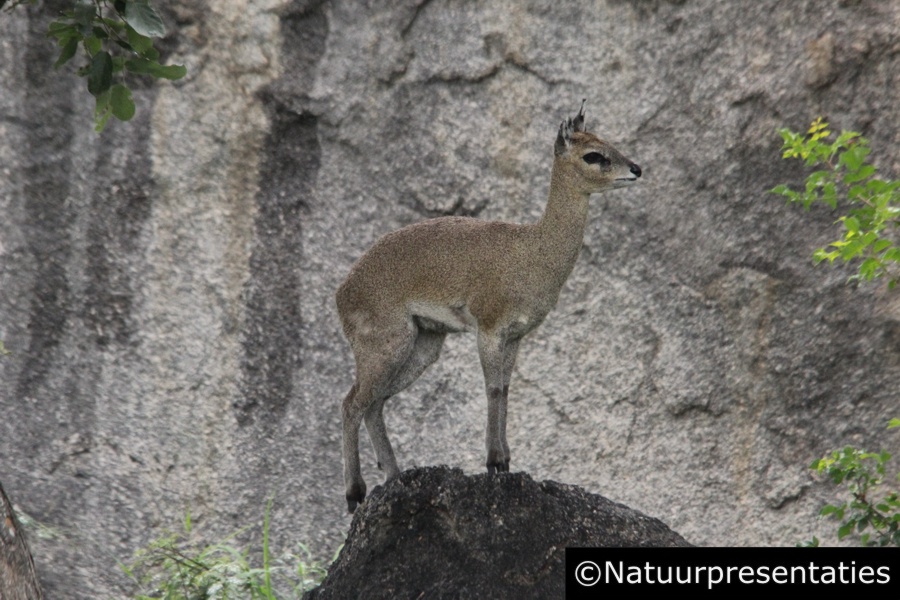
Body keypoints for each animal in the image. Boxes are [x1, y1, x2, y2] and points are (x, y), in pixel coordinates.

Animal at [338, 102, 640, 510]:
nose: (636, 169)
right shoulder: (490, 328)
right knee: (351, 403)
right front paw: (494, 461)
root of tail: (342, 293)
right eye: (593, 154)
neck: (533, 251)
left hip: (423, 345)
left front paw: (507, 461)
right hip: (385, 344)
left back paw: (395, 477)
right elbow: (492, 389)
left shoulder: (515, 337)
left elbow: (505, 389)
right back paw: (355, 494)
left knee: (374, 404)